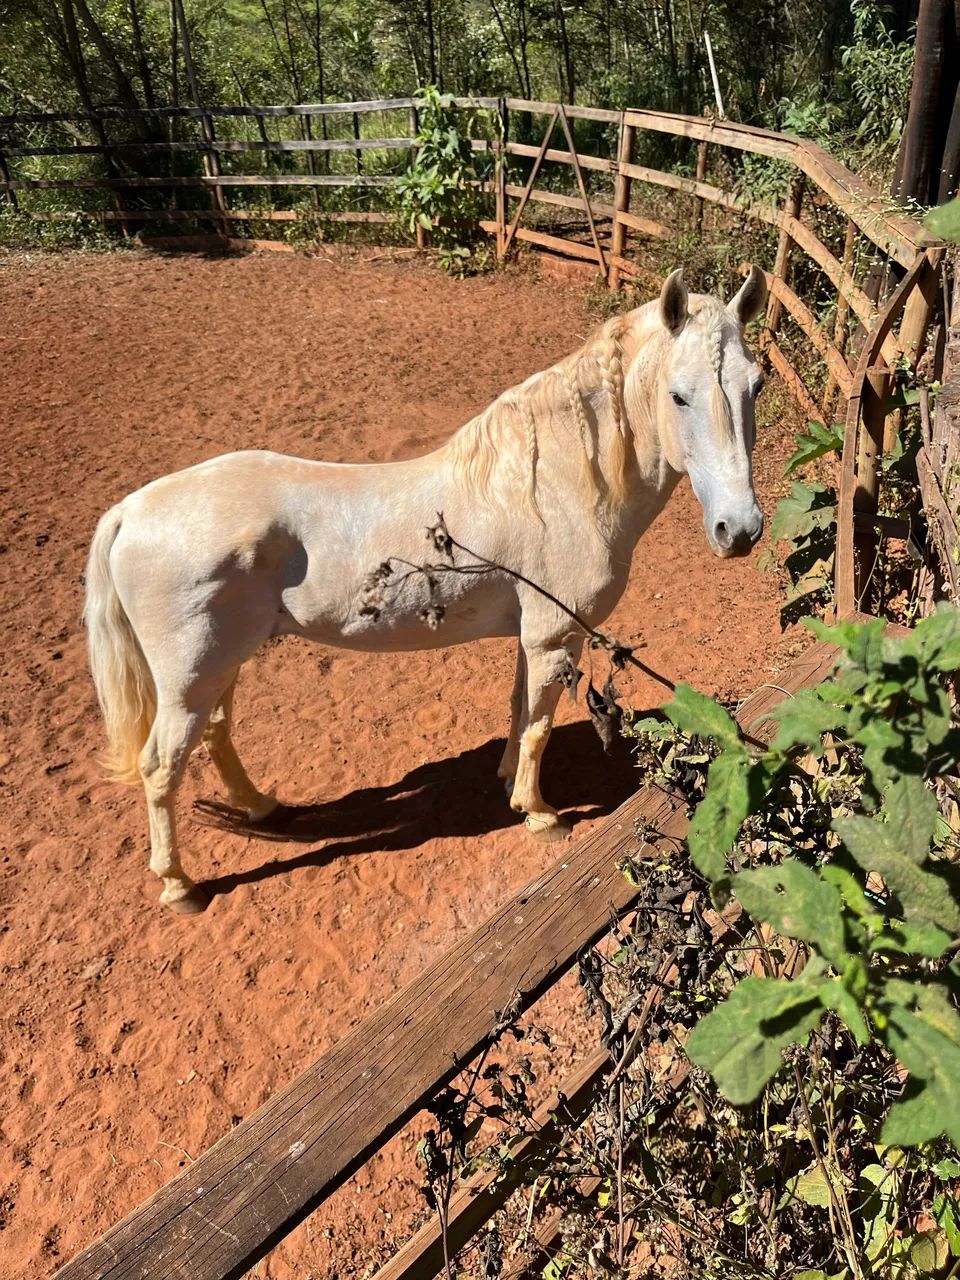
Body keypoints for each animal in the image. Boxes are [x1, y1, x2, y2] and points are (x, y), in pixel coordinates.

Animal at [84, 265, 767, 914]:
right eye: (678, 395)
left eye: (755, 386)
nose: (739, 530)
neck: (555, 489)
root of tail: (132, 510)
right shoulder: (555, 637)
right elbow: (540, 727)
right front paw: (540, 815)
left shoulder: (531, 635)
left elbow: (520, 711)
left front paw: (507, 783)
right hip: (190, 678)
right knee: (160, 767)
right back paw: (179, 886)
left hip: (223, 661)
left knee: (217, 734)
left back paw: (262, 809)